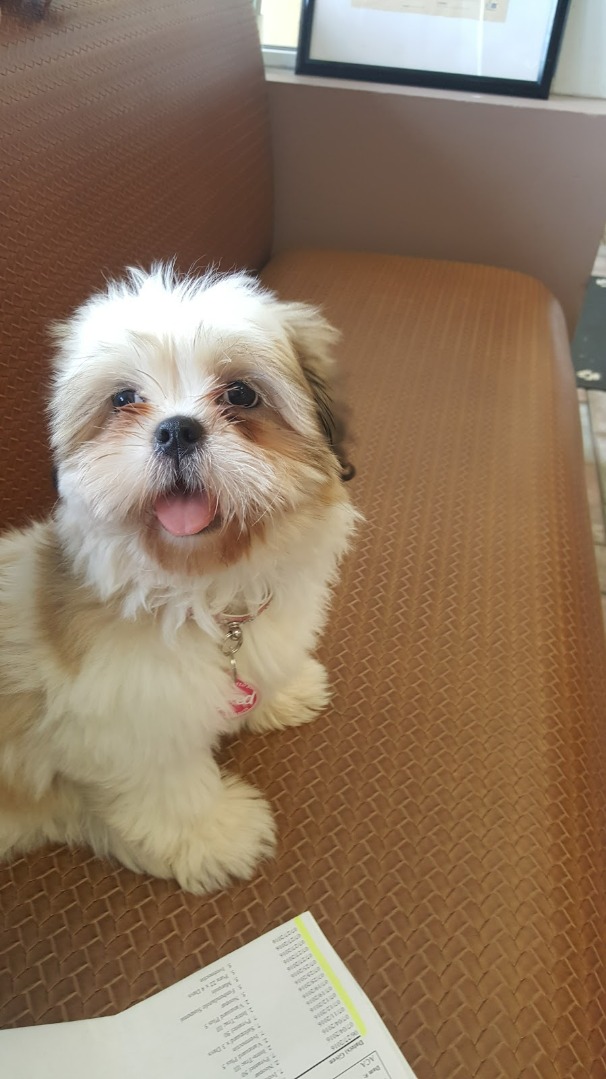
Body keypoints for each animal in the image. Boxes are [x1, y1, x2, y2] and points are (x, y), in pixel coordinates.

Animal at [0, 266, 357, 894]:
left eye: (240, 394)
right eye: (124, 399)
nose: (175, 430)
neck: (205, 591)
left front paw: (282, 690)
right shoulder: (131, 722)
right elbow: (169, 789)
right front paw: (214, 834)